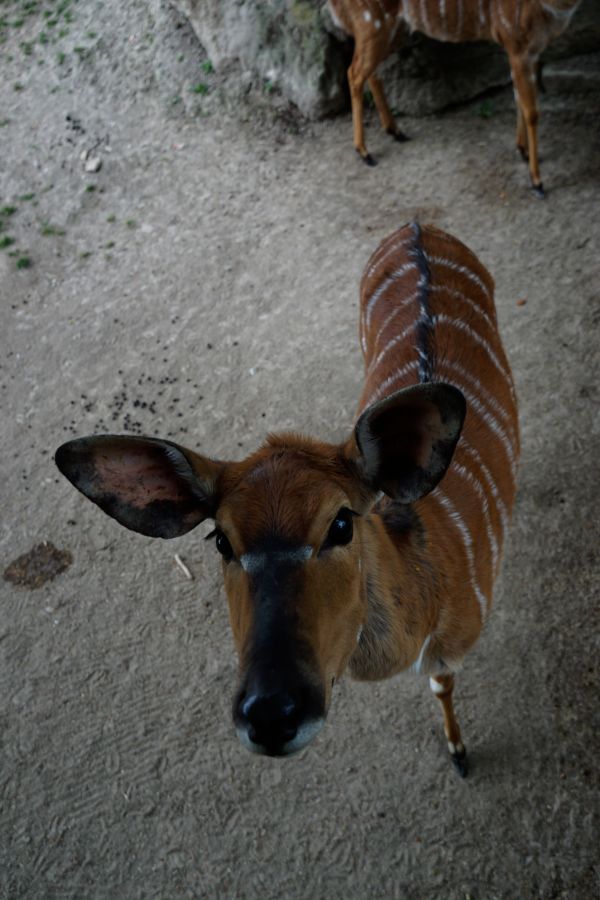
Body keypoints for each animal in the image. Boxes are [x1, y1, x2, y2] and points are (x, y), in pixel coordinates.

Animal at [55, 222, 519, 775]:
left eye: (340, 523)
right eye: (221, 541)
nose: (271, 713)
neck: (429, 575)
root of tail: (417, 224)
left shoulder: (456, 644)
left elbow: (442, 686)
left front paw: (460, 753)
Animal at [328, 0, 582, 195]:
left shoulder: (529, 51)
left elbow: (519, 99)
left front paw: (523, 151)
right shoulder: (518, 45)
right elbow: (532, 111)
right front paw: (537, 180)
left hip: (392, 30)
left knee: (370, 74)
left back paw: (396, 131)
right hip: (373, 25)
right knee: (354, 74)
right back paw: (364, 151)